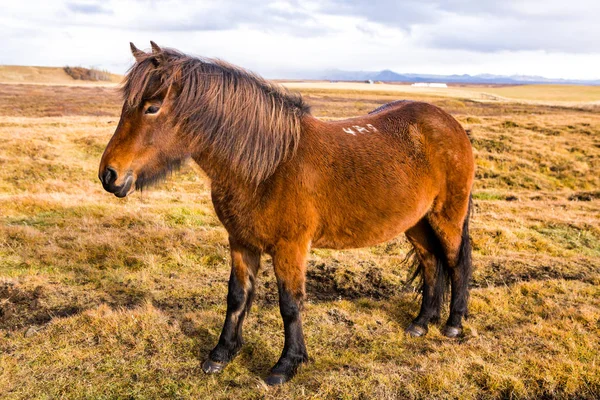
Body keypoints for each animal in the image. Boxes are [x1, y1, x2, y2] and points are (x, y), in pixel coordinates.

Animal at [98, 42, 474, 386]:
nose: (109, 175)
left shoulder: (290, 247)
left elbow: (290, 304)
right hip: (417, 222)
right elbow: (237, 296)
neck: (269, 167)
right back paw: (421, 323)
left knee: (455, 261)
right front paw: (221, 354)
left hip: (447, 217)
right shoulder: (241, 242)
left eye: (152, 107)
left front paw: (286, 365)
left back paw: (453, 324)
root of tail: (448, 123)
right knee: (430, 262)